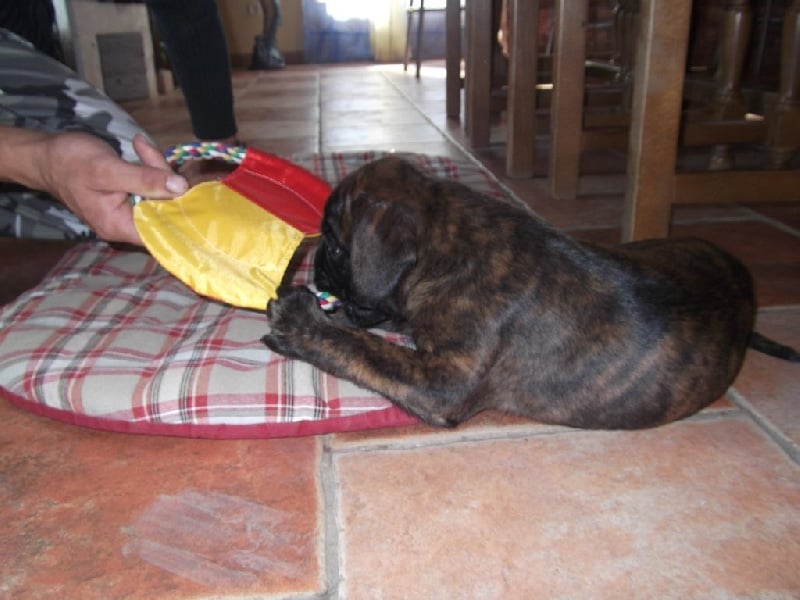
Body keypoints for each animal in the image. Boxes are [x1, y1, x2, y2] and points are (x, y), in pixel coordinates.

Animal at [262, 156, 799, 430]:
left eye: (334, 243)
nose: (315, 267)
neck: (452, 238)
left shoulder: (443, 383)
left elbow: (363, 350)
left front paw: (300, 320)